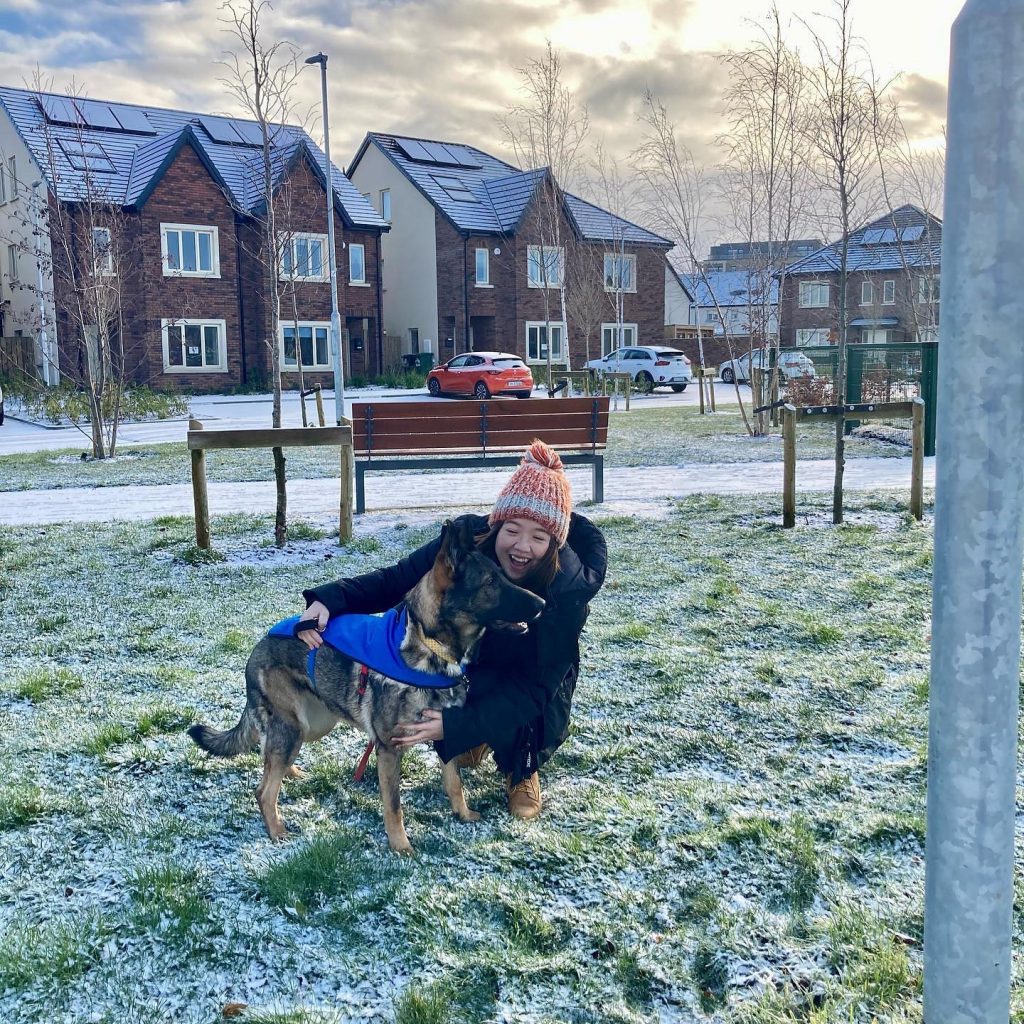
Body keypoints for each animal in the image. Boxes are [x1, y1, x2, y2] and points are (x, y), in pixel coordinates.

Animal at [189, 516, 548, 851]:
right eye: (490, 581)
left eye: (501, 575)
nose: (543, 605)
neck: (429, 647)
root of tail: (260, 644)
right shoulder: (388, 750)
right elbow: (394, 805)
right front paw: (401, 847)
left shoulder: (444, 732)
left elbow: (454, 782)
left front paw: (463, 814)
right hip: (295, 726)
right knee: (264, 789)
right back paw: (276, 830)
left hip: (313, 724)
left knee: (270, 756)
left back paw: (290, 773)